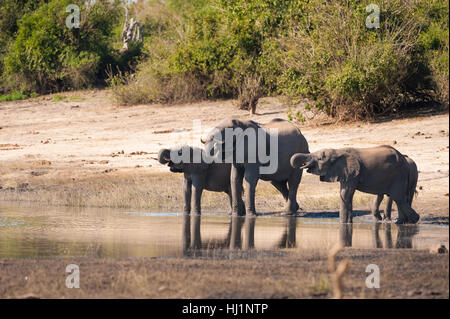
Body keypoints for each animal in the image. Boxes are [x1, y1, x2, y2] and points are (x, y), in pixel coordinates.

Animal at [290, 146, 420, 225]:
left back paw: (412, 220)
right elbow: (346, 195)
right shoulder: (346, 173)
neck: (339, 151)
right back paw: (402, 222)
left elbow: (345, 194)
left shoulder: (352, 173)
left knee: (398, 197)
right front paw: (348, 224)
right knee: (398, 198)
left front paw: (343, 224)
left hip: (398, 175)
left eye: (320, 158)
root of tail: (404, 159)